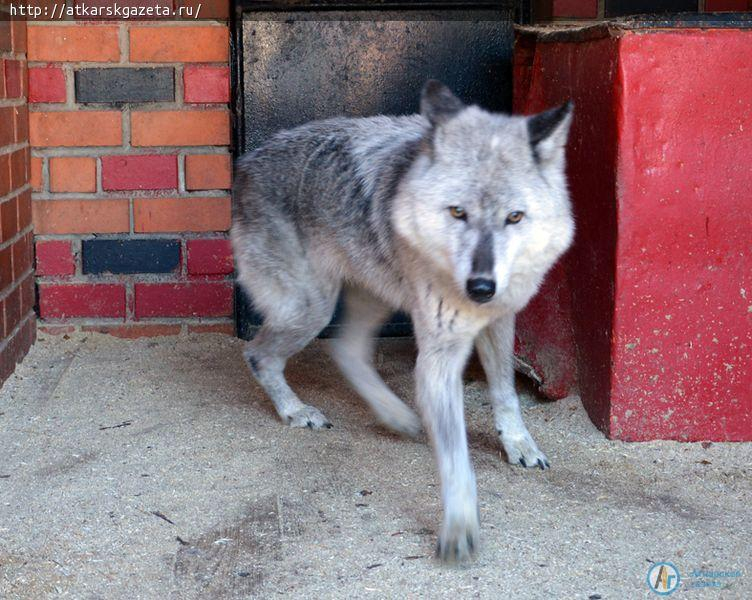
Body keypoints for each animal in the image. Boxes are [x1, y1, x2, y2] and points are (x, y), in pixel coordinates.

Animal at [232, 79, 572, 564]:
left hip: (371, 298)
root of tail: (245, 162)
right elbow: (456, 457)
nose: (481, 287)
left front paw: (518, 443)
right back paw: (297, 411)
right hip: (312, 308)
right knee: (260, 354)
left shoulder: (498, 319)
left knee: (346, 349)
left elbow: (506, 392)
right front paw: (459, 526)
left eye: (515, 217)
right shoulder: (440, 355)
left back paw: (397, 416)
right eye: (457, 212)